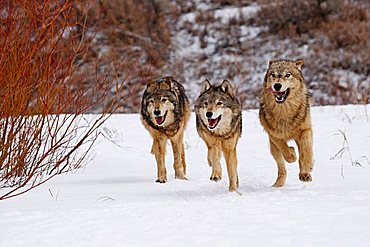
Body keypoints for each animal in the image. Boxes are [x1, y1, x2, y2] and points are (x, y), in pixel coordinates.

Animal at [258, 59, 314, 187]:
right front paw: (292, 154)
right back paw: (278, 184)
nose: (277, 85)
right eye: (273, 75)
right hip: (273, 149)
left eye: (287, 75)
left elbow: (306, 152)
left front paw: (307, 170)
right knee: (281, 167)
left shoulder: (306, 130)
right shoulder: (273, 135)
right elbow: (285, 150)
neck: (284, 112)